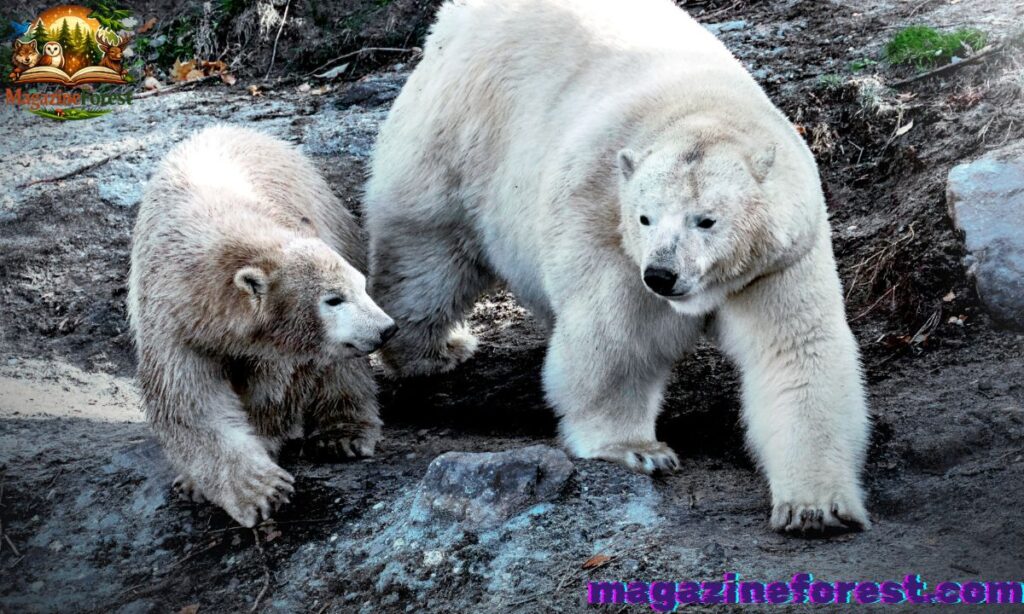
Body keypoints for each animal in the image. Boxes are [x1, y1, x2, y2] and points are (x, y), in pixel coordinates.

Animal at [129, 125, 396, 527]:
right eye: (333, 299)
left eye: (360, 286)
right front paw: (251, 490)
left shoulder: (279, 344)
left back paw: (343, 434)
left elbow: (276, 387)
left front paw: (266, 461)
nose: (385, 328)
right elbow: (190, 405)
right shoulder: (172, 322)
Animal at [364, 0, 870, 532]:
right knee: (427, 254)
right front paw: (639, 450)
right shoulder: (606, 223)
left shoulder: (778, 258)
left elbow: (797, 351)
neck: (699, 108)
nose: (662, 275)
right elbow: (618, 335)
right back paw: (432, 350)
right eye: (645, 217)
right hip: (459, 137)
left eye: (706, 219)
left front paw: (817, 508)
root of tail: (455, 19)